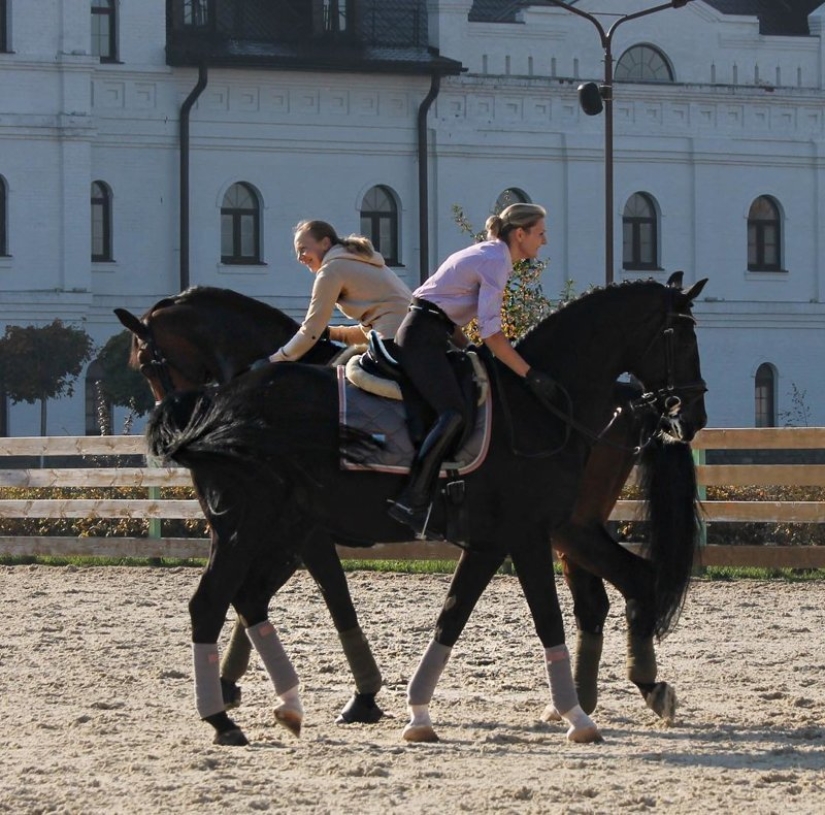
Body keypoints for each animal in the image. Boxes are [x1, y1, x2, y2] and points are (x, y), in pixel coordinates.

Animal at [145, 278, 704, 744]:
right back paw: (223, 718)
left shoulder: (496, 540)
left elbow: (451, 617)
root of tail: (217, 409)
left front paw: (409, 711)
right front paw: (574, 718)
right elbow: (540, 620)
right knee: (216, 603)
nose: (695, 415)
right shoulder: (520, 536)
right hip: (251, 528)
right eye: (682, 338)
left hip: (271, 528)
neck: (540, 403)